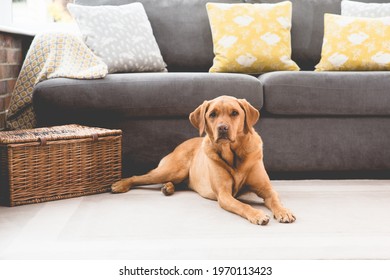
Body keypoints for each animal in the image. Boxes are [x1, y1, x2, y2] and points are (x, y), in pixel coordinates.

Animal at [112, 96, 296, 225]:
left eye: (235, 113)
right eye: (212, 114)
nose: (222, 128)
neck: (234, 155)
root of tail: (180, 145)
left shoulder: (266, 189)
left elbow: (275, 200)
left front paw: (284, 211)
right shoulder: (224, 195)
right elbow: (242, 205)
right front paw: (257, 214)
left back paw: (168, 188)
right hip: (173, 170)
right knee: (139, 177)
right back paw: (121, 184)